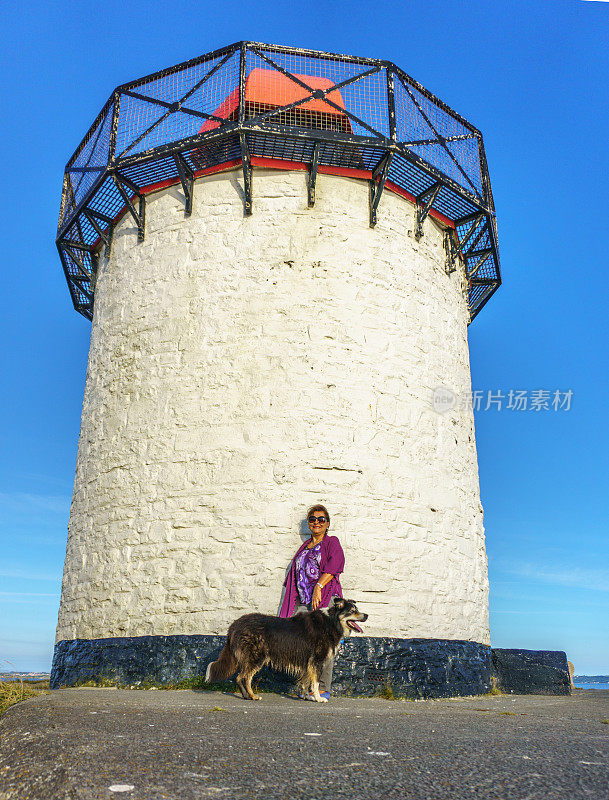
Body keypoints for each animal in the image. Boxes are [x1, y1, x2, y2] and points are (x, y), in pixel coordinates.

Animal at [205, 592, 366, 700]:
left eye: (357, 610)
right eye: (352, 611)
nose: (366, 615)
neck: (332, 621)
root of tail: (234, 625)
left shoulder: (307, 661)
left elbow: (306, 681)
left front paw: (307, 697)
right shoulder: (316, 660)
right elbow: (314, 682)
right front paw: (318, 698)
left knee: (239, 678)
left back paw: (246, 696)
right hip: (256, 657)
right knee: (244, 677)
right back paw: (253, 695)